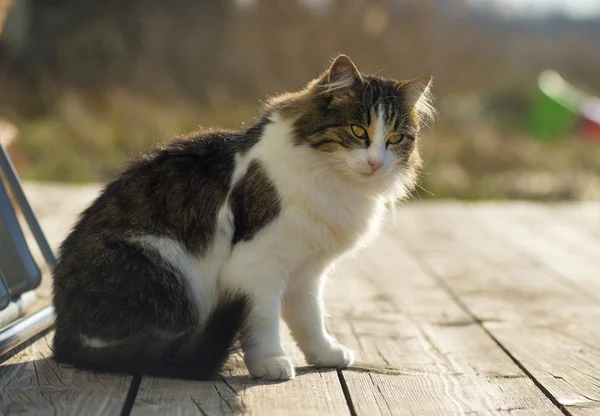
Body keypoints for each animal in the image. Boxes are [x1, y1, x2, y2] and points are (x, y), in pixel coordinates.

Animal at [51, 54, 434, 380]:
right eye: (358, 132)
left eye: (395, 138)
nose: (376, 163)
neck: (333, 182)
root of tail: (63, 335)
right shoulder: (256, 264)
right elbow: (263, 320)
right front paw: (270, 362)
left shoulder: (307, 271)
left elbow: (310, 319)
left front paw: (324, 353)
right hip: (164, 264)